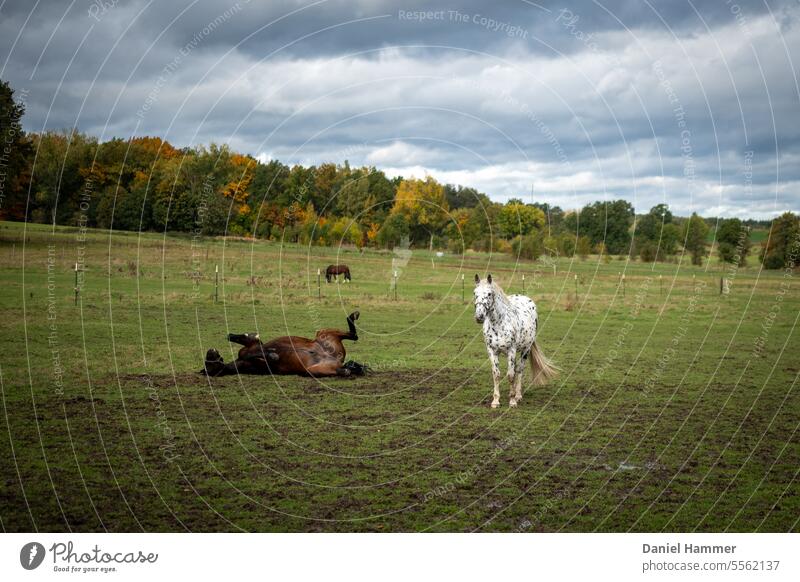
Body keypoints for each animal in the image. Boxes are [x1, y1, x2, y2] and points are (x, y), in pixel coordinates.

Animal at [200, 310, 366, 378]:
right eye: (209, 365)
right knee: (346, 366)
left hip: (323, 333)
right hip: (314, 370)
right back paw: (348, 369)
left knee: (354, 335)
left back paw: (353, 315)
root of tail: (336, 360)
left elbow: (242, 338)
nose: (210, 351)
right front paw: (272, 354)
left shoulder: (252, 344)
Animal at [476, 274, 556, 408]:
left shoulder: (511, 350)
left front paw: (512, 401)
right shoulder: (492, 350)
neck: (498, 323)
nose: (479, 316)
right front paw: (495, 401)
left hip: (525, 350)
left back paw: (518, 395)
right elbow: (496, 374)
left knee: (519, 370)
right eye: (475, 293)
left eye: (489, 294)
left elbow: (511, 375)